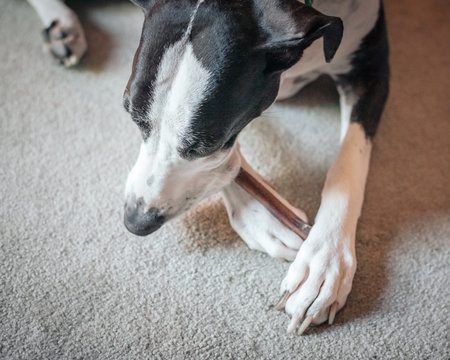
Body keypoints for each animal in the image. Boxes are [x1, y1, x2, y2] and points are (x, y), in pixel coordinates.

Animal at [26, 0, 388, 334]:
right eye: (133, 117)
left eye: (204, 143)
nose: (135, 222)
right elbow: (228, 164)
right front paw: (262, 217)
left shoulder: (371, 63)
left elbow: (349, 161)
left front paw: (325, 260)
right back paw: (62, 26)